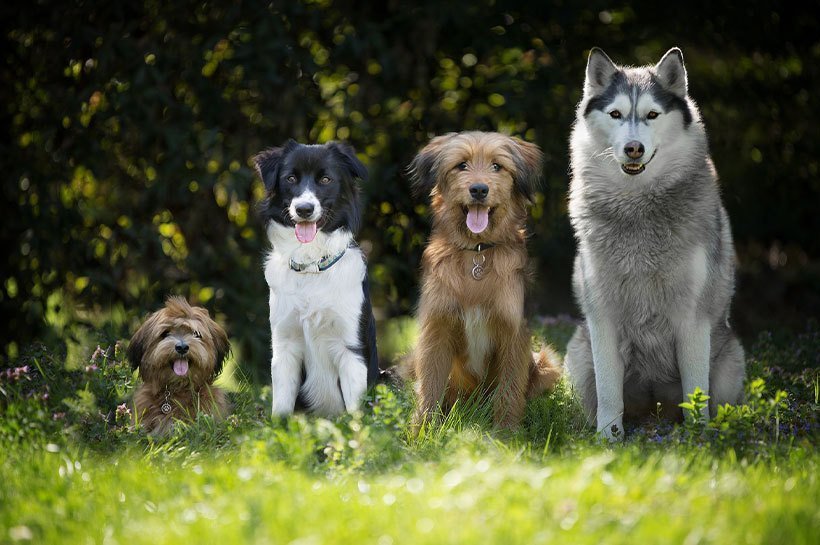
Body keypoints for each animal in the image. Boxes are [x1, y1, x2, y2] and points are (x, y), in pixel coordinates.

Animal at [406, 131, 560, 430]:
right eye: (462, 165)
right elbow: (430, 387)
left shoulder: (514, 332)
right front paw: (421, 431)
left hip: (546, 363)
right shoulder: (436, 329)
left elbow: (509, 390)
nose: (479, 189)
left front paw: (506, 432)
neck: (476, 253)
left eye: (497, 166)